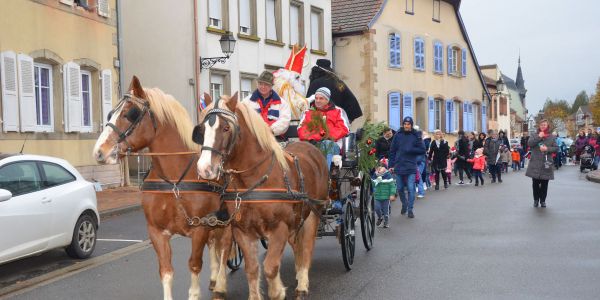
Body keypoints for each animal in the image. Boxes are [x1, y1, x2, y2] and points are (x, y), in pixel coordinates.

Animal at [94, 77, 232, 300]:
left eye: (130, 113)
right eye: (110, 113)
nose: (99, 151)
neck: (173, 181)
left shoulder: (199, 229)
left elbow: (194, 265)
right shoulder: (157, 232)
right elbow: (166, 272)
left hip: (227, 221)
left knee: (226, 246)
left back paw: (220, 285)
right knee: (214, 244)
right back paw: (214, 279)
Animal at [193, 94, 328, 300]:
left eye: (226, 128)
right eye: (202, 129)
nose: (204, 168)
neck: (255, 178)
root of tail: (312, 148)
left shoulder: (280, 227)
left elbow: (270, 267)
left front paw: (278, 291)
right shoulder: (242, 230)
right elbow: (252, 268)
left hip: (313, 213)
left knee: (306, 247)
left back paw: (302, 284)